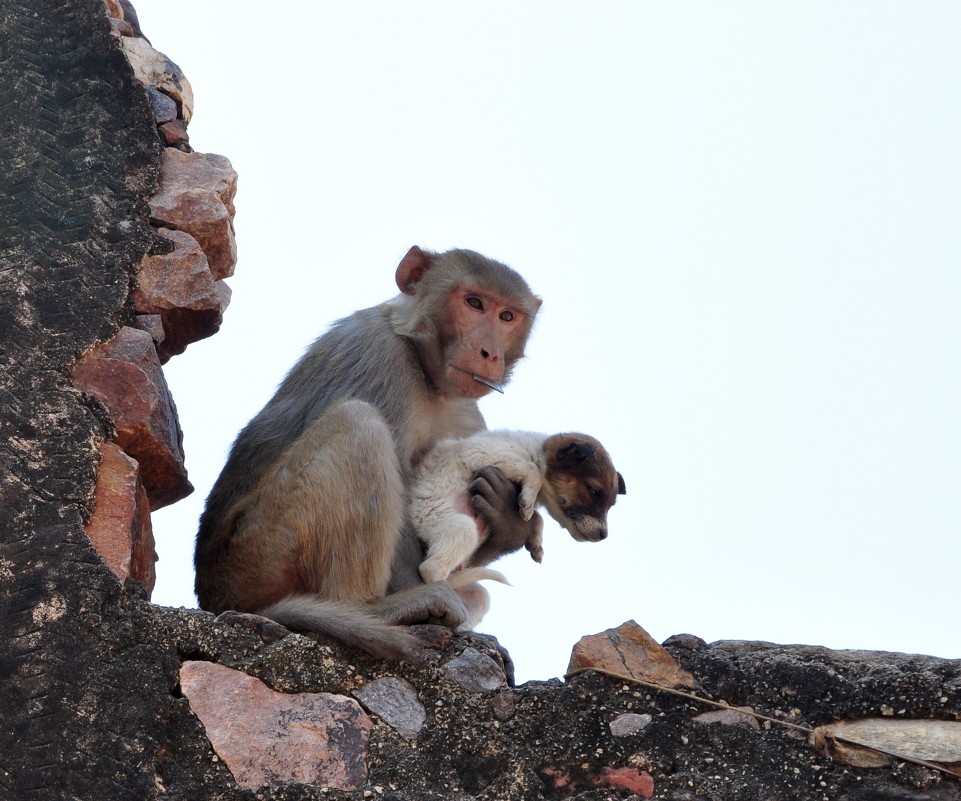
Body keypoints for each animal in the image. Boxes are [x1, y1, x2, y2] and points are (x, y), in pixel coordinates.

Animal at [194, 247, 540, 660]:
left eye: (507, 316)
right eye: (474, 303)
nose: (489, 353)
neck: (425, 370)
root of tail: (214, 597)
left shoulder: (467, 413)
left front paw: (505, 518)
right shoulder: (378, 355)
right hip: (257, 556)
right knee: (358, 423)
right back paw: (369, 608)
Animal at [410, 428, 624, 628]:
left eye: (611, 504)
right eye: (593, 491)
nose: (603, 535)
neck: (536, 451)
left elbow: (536, 517)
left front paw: (536, 541)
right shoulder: (481, 452)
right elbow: (532, 471)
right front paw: (529, 501)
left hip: (479, 595)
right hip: (457, 527)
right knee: (430, 569)